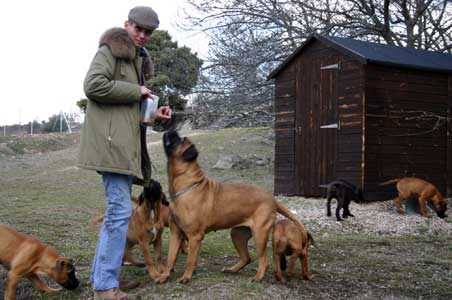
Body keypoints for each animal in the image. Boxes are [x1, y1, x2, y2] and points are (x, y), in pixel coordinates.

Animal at [155, 131, 308, 284]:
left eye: (180, 140)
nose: (171, 131)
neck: (186, 185)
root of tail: (273, 199)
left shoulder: (194, 236)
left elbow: (190, 261)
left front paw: (186, 277)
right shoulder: (175, 234)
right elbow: (170, 259)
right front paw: (164, 276)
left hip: (259, 234)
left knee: (263, 261)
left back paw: (258, 277)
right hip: (237, 234)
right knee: (247, 258)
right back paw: (232, 270)